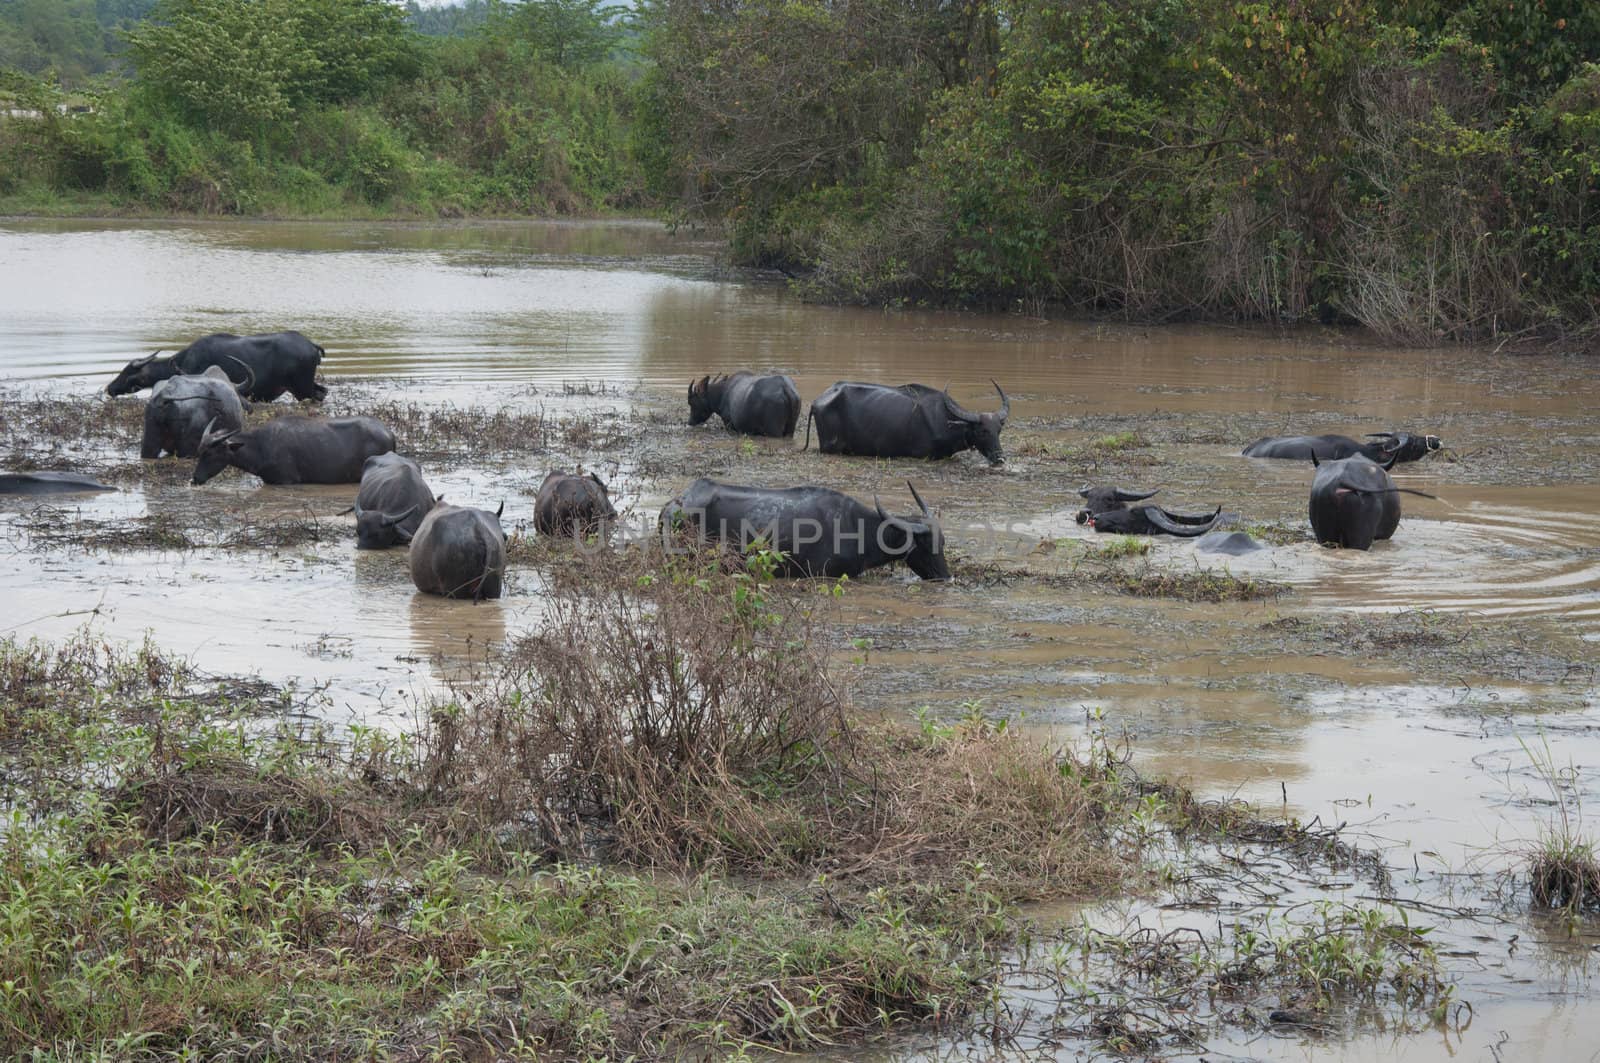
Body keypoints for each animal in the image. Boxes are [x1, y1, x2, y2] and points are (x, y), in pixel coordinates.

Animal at [191, 416, 396, 486]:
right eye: (199, 452)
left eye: (211, 453)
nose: (195, 478)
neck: (261, 446)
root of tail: (389, 433)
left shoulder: (287, 480)